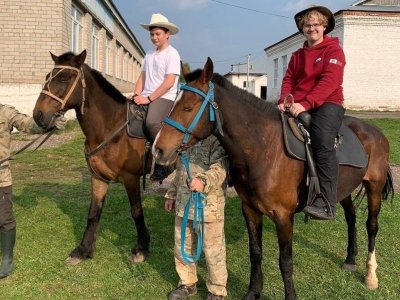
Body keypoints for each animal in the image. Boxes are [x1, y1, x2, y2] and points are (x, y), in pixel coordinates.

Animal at [32, 50, 151, 266]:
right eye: (47, 77)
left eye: (65, 77)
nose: (39, 115)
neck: (112, 127)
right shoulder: (98, 177)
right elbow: (93, 213)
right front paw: (82, 250)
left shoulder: (131, 178)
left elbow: (136, 211)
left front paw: (141, 248)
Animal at [153, 58, 394, 300]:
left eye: (188, 107)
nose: (158, 149)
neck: (265, 148)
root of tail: (375, 132)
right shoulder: (250, 209)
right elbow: (255, 253)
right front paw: (253, 292)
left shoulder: (284, 216)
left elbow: (285, 262)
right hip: (341, 190)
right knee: (351, 218)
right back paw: (350, 260)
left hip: (374, 187)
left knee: (371, 226)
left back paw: (371, 275)